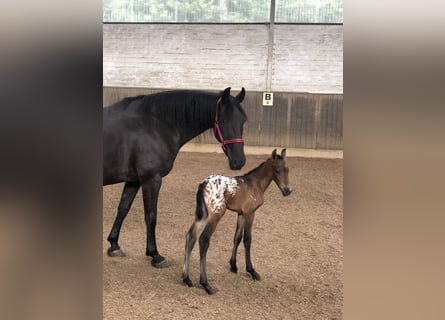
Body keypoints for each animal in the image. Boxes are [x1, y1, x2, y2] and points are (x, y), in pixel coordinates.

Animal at [103, 87, 246, 268]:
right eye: (224, 120)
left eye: (243, 121)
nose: (239, 161)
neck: (153, 125)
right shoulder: (151, 179)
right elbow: (151, 216)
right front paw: (155, 255)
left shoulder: (134, 180)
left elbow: (123, 209)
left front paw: (114, 245)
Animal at [180, 149, 292, 294]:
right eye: (277, 170)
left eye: (287, 169)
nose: (287, 191)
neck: (255, 183)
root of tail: (203, 184)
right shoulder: (250, 213)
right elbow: (247, 239)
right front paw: (252, 271)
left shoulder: (241, 214)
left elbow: (237, 237)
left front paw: (233, 266)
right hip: (216, 214)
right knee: (204, 239)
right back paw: (206, 285)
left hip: (202, 215)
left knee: (191, 236)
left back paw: (187, 279)